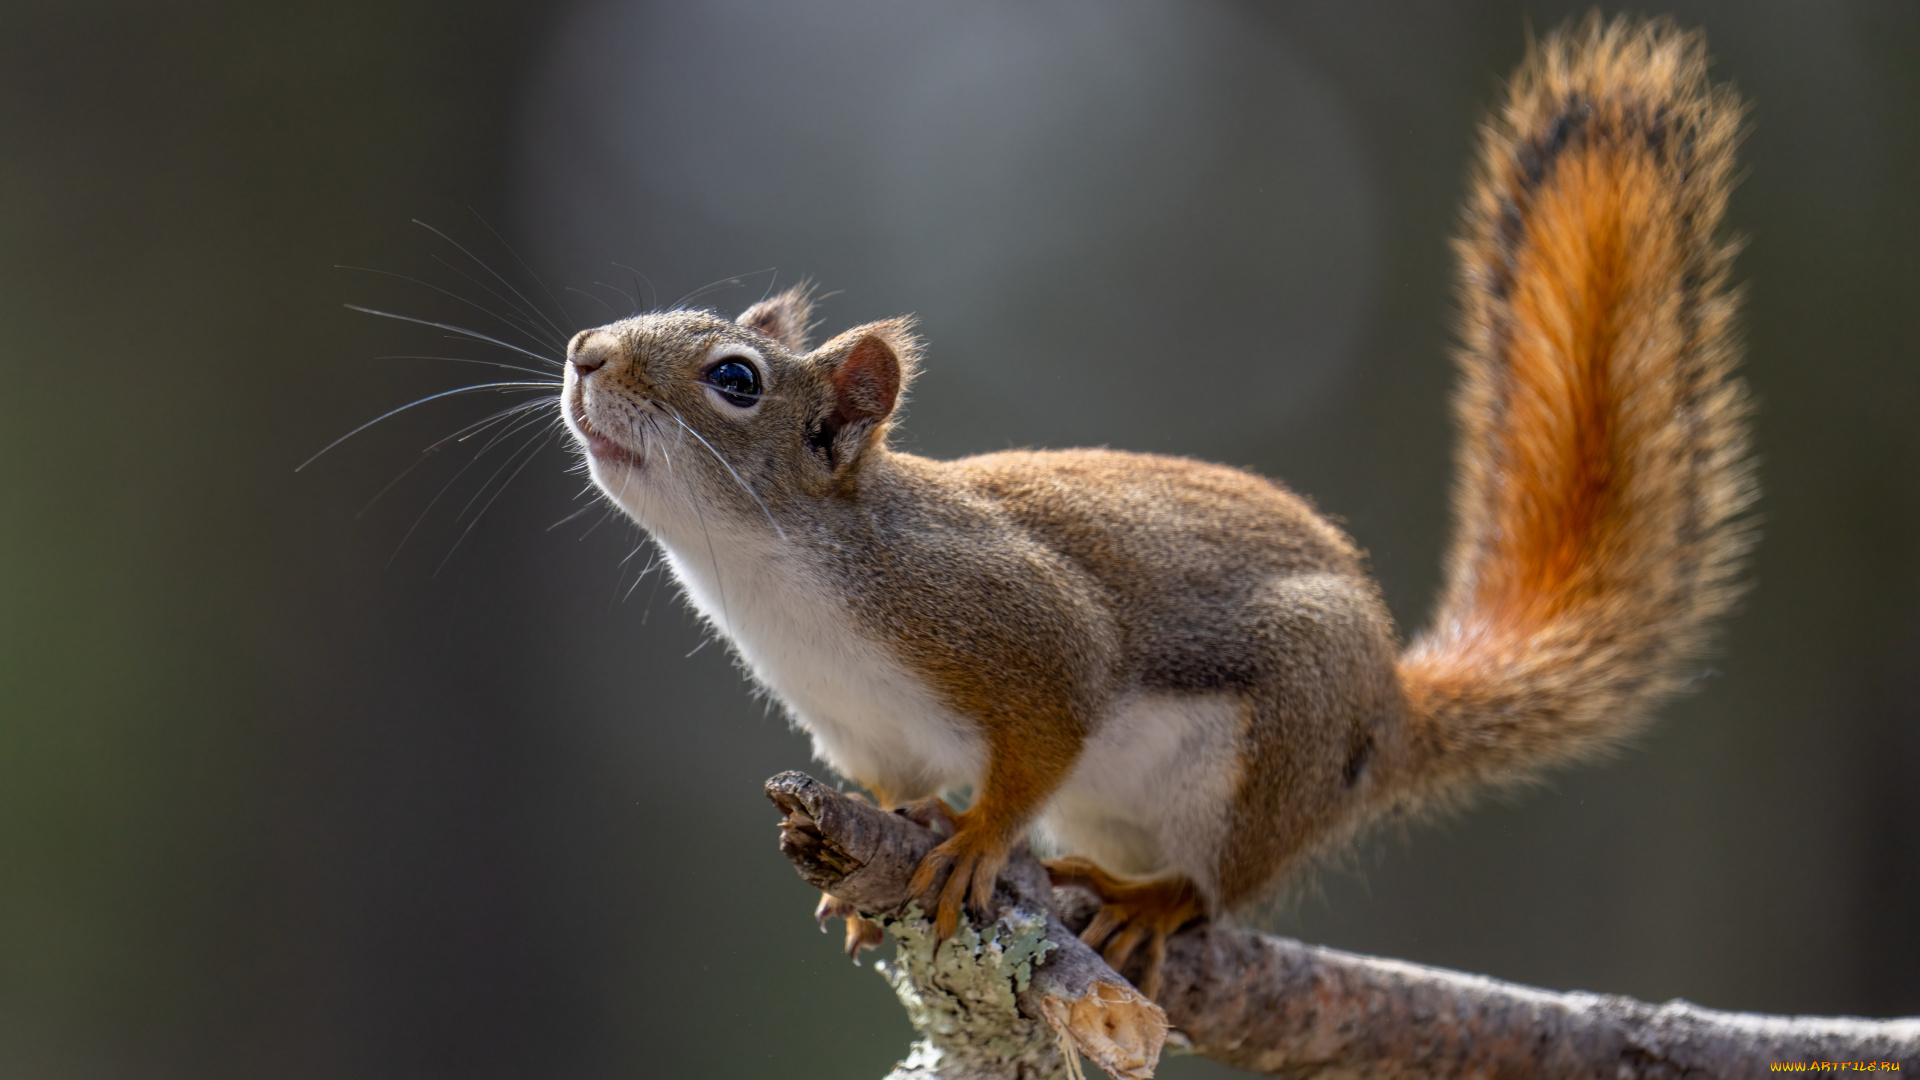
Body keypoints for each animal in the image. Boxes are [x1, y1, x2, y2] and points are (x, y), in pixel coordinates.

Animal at [558, 15, 1755, 1000]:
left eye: (736, 380)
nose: (584, 352)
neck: (773, 578)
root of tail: (1391, 713)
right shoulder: (862, 733)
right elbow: (897, 794)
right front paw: (892, 855)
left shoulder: (1007, 619)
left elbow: (1049, 721)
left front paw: (978, 840)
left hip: (1278, 746)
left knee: (1222, 887)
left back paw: (1155, 899)